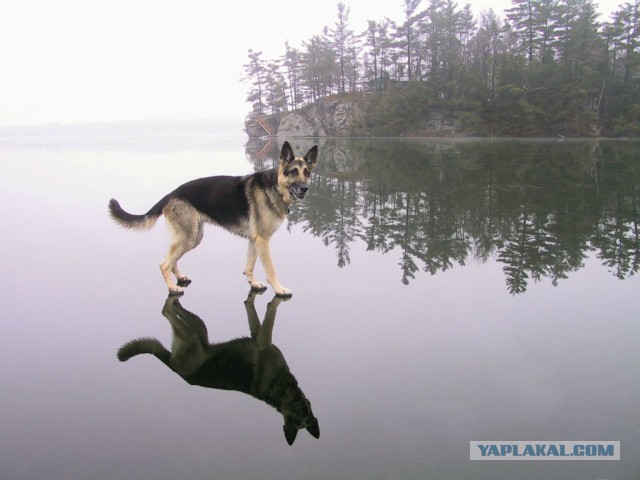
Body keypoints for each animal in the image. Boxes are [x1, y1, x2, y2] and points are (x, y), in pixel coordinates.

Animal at [111, 140, 320, 296]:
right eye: (293, 172)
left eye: (307, 173)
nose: (305, 189)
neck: (275, 187)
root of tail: (171, 194)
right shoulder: (263, 241)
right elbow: (270, 269)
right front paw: (278, 289)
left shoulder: (254, 241)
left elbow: (249, 265)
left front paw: (253, 283)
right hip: (188, 237)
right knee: (164, 264)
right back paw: (172, 288)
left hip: (192, 237)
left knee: (169, 257)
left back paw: (179, 277)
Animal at [117, 290, 320, 444]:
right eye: (297, 415)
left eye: (305, 414)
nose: (301, 404)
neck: (281, 390)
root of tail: (177, 370)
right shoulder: (263, 341)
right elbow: (269, 315)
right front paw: (272, 300)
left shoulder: (258, 337)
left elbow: (254, 311)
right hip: (194, 336)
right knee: (164, 311)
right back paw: (173, 297)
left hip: (199, 331)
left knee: (173, 311)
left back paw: (176, 298)